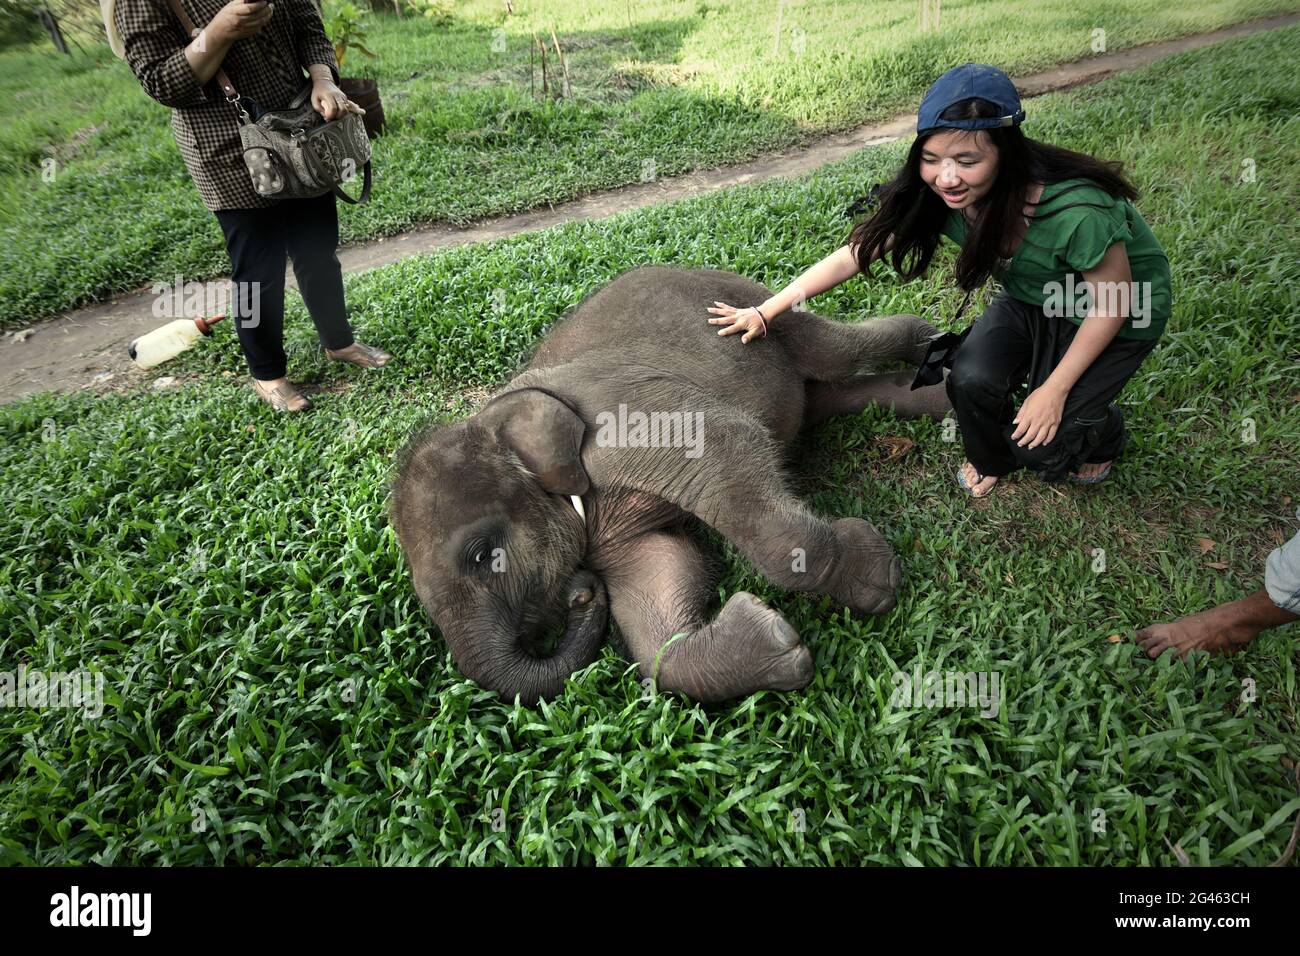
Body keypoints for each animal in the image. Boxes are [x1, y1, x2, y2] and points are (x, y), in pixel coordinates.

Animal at [390, 267, 951, 702]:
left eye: (483, 555)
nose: (580, 593)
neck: (494, 413)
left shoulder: (625, 420)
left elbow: (729, 443)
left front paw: (880, 582)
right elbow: (659, 580)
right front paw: (777, 641)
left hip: (749, 305)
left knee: (836, 351)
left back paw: (929, 342)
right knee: (829, 394)